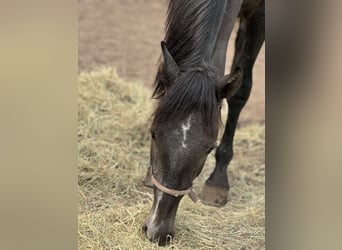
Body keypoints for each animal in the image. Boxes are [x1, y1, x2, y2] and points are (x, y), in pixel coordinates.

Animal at [142, 0, 264, 244]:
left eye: (209, 148)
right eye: (153, 133)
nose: (158, 231)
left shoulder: (259, 16)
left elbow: (240, 92)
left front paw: (218, 183)